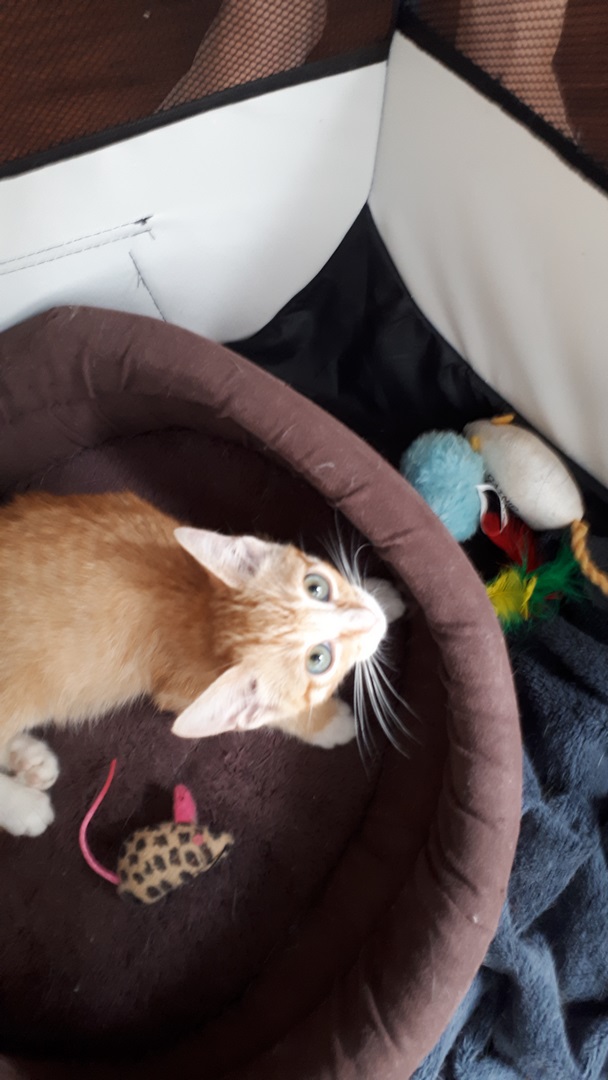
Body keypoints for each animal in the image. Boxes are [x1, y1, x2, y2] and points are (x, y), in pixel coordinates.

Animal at [0, 491, 405, 837]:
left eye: (317, 586)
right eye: (319, 659)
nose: (369, 620)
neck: (208, 609)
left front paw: (381, 595)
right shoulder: (180, 692)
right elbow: (278, 715)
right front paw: (328, 722)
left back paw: (29, 759)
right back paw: (23, 805)